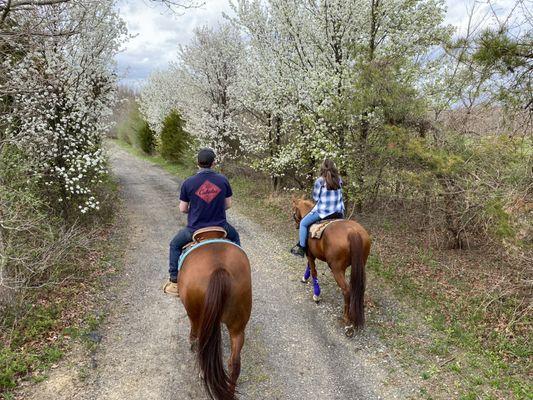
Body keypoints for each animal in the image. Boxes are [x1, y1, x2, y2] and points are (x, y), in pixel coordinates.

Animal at [290, 197, 370, 334]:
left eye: (294, 209)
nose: (296, 224)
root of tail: (353, 232)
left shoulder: (309, 254)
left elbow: (313, 270)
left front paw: (316, 295)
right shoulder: (311, 253)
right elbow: (310, 267)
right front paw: (305, 278)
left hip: (336, 269)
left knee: (346, 290)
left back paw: (347, 320)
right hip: (361, 265)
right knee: (359, 287)